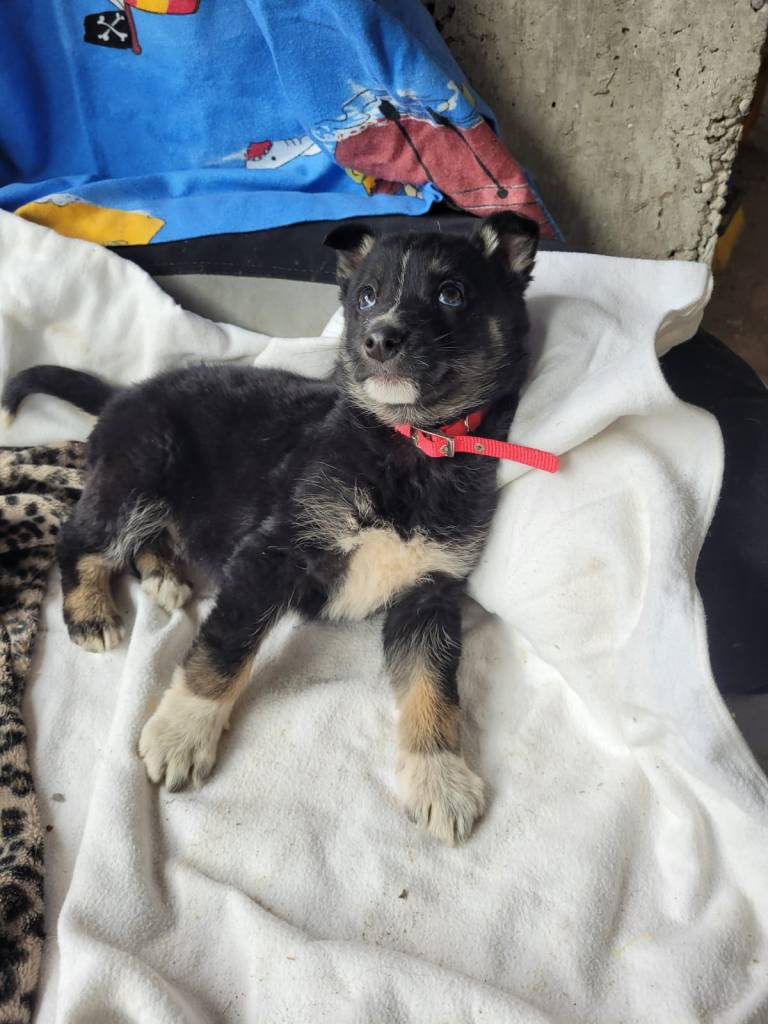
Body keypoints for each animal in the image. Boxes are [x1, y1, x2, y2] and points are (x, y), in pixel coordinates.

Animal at [2, 211, 541, 845]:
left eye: (451, 293)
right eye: (366, 296)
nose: (378, 339)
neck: (411, 445)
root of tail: (125, 392)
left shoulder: (430, 592)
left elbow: (435, 687)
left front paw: (439, 777)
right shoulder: (273, 553)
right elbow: (223, 648)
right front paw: (182, 733)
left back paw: (163, 576)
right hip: (140, 472)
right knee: (80, 535)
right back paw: (91, 613)